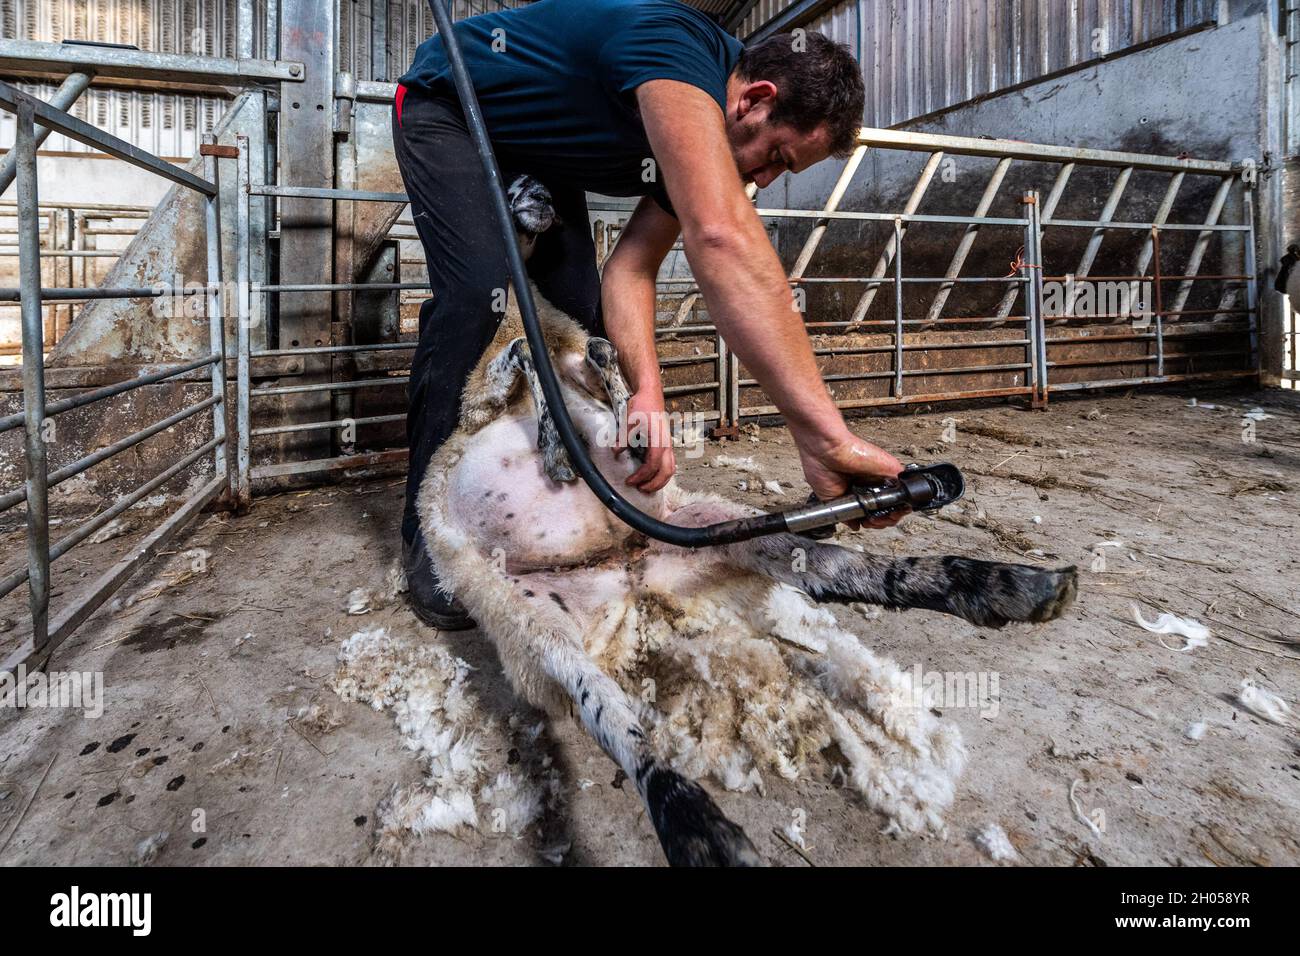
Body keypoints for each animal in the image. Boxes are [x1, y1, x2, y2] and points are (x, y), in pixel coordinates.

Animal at [413, 179, 1076, 868]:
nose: (541, 195)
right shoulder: (477, 405)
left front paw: (617, 425)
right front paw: (555, 447)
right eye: (516, 181)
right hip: (535, 624)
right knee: (618, 722)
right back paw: (701, 830)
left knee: (845, 571)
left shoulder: (564, 370)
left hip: (718, 531)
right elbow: (522, 363)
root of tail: (632, 584)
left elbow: (600, 357)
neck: (535, 317)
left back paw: (1009, 587)